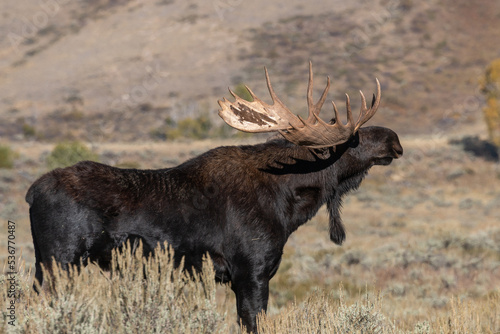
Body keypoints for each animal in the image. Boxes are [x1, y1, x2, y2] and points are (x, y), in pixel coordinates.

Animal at [26, 62, 402, 332]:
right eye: (354, 139)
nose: (395, 140)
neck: (289, 203)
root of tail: (31, 193)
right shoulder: (250, 272)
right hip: (59, 261)